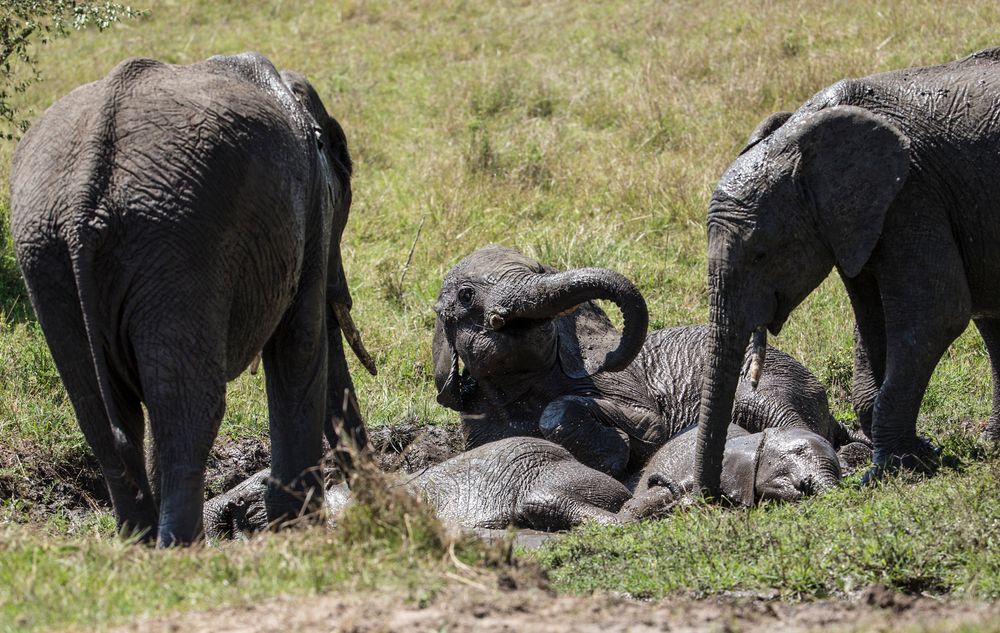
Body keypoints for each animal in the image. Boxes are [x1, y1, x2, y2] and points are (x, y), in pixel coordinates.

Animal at [8, 53, 376, 544]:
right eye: (345, 174)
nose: (380, 501)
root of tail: (83, 197)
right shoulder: (310, 215)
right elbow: (299, 348)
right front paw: (297, 531)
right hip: (176, 242)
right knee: (188, 412)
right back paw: (183, 548)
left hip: (48, 257)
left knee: (105, 418)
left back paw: (139, 545)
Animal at [434, 246, 864, 478]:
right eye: (467, 295)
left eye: (539, 271)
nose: (610, 358)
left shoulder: (618, 384)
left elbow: (648, 426)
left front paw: (616, 452)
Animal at [692, 45, 1000, 494]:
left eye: (762, 254)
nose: (708, 496)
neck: (803, 135)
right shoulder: (856, 222)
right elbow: (872, 322)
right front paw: (919, 454)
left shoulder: (912, 192)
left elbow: (935, 315)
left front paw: (893, 470)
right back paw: (993, 445)